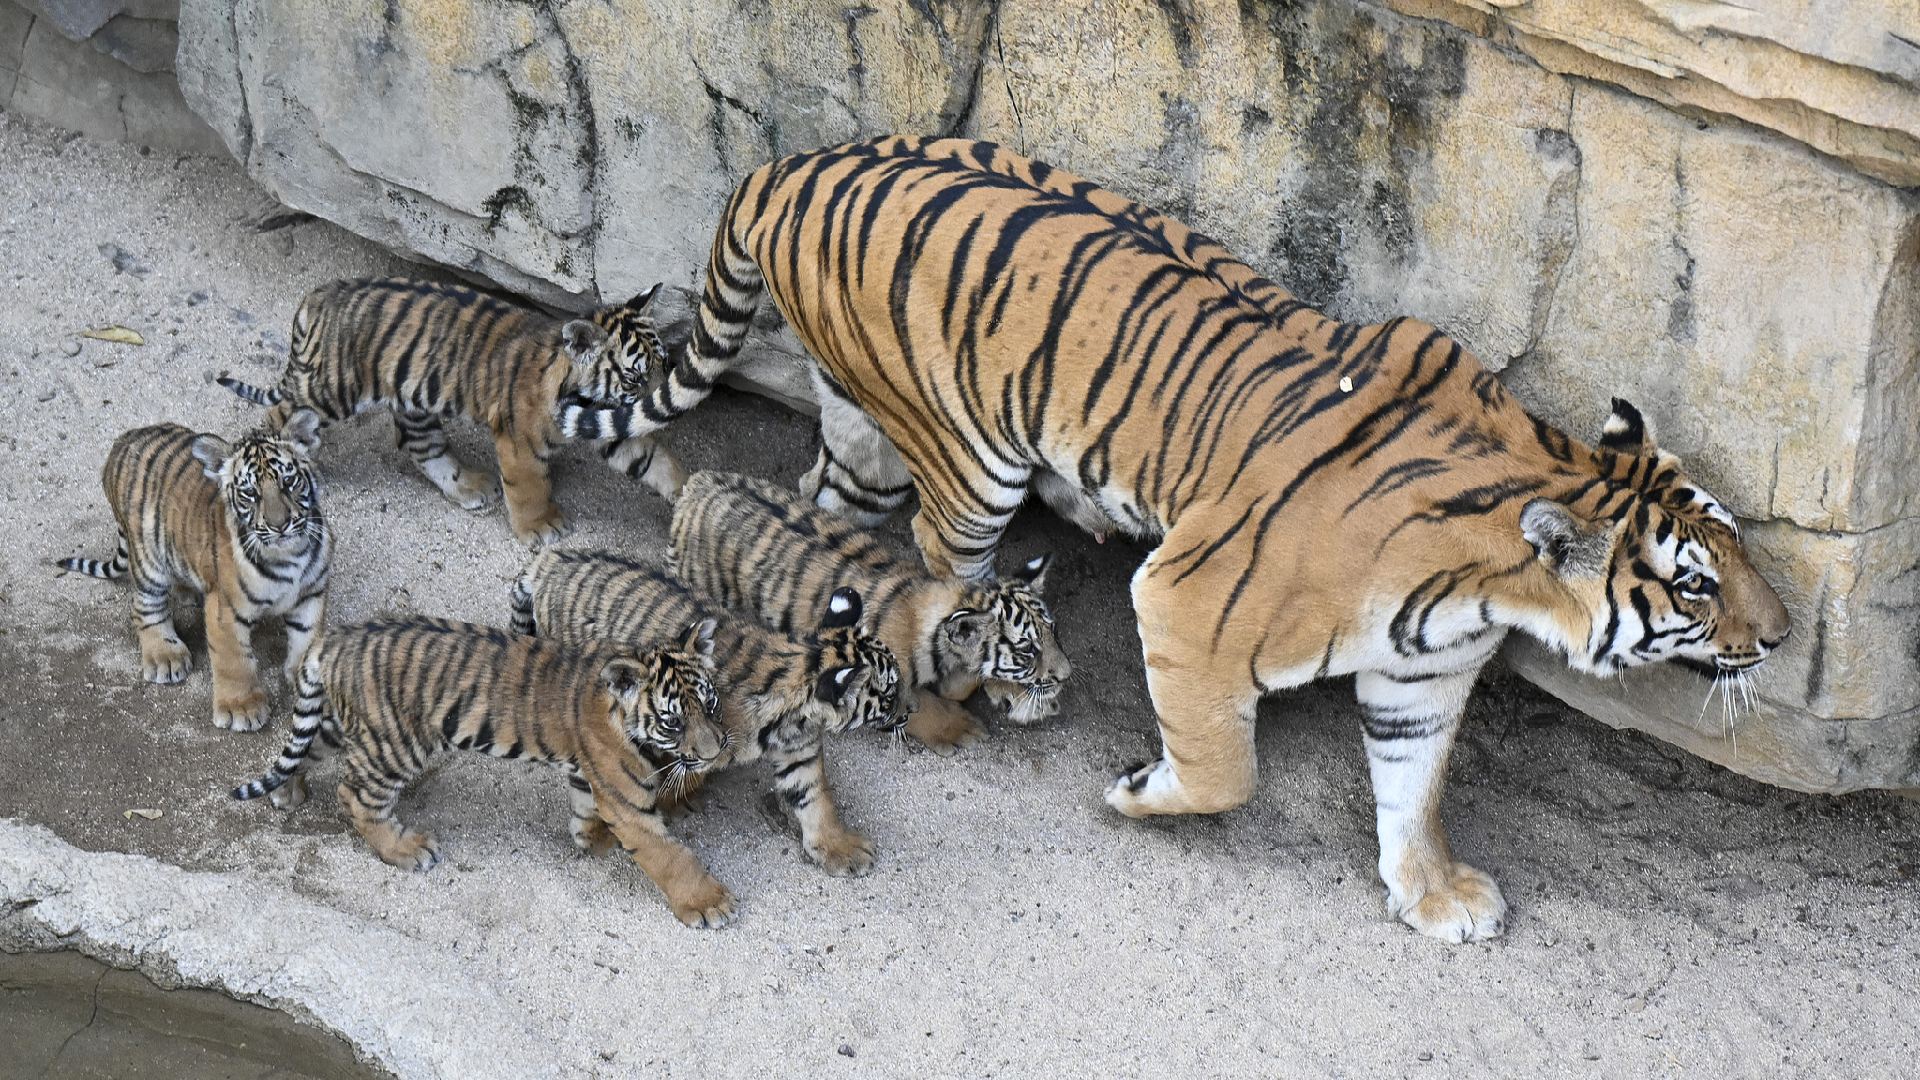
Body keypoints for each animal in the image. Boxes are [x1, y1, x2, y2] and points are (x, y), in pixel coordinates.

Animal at [564, 136, 1781, 941]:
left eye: (1742, 556)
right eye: (1693, 588)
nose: (1779, 635)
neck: (1489, 579)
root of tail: (790, 165)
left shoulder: (1421, 674)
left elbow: (1414, 787)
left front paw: (1433, 892)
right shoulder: (1186, 601)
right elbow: (1224, 770)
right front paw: (1140, 790)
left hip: (862, 433)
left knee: (817, 508)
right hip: (968, 464)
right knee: (944, 575)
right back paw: (990, 697)